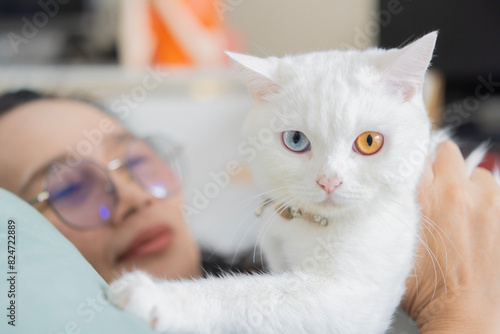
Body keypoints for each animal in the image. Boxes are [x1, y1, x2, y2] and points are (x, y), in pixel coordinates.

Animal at [108, 32, 484, 334]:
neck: (309, 226)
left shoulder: (353, 297)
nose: (329, 181)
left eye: (369, 142)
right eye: (296, 140)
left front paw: (156, 296)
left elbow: (253, 294)